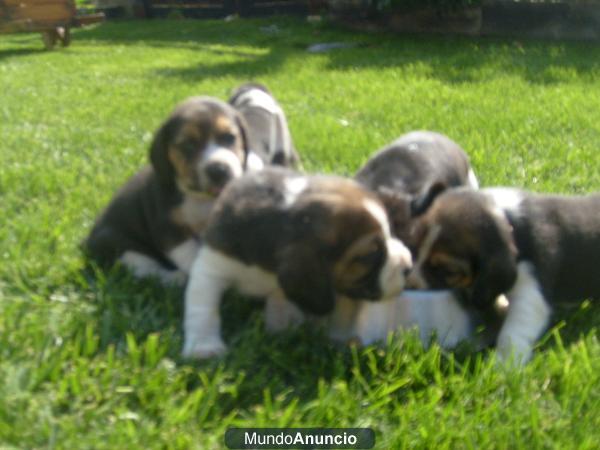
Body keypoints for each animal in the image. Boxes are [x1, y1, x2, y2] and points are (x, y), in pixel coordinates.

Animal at [82, 96, 255, 284]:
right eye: (188, 145)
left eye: (229, 138)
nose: (219, 170)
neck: (201, 197)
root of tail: (86, 243)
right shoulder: (168, 229)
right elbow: (190, 257)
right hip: (122, 247)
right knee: (147, 271)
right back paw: (175, 278)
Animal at [180, 167, 412, 360]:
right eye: (370, 254)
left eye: (391, 231)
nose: (408, 267)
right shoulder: (213, 265)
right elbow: (203, 308)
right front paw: (203, 346)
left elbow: (281, 302)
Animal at [408, 186, 600, 366]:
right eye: (414, 249)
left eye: (447, 271)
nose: (409, 284)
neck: (506, 219)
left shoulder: (531, 291)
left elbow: (512, 332)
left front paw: (503, 366)